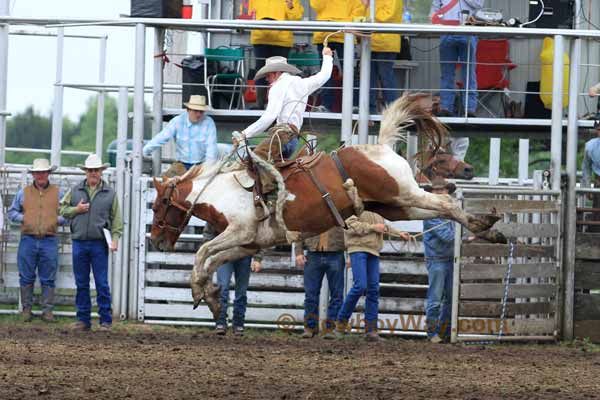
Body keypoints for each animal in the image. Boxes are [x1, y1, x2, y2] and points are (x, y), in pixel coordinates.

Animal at [151, 93, 506, 318]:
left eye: (158, 206)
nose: (156, 241)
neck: (220, 189)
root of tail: (380, 147)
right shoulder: (248, 243)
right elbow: (212, 260)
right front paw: (209, 296)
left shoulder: (239, 232)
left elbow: (202, 253)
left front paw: (200, 290)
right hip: (396, 205)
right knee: (443, 207)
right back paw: (488, 229)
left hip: (405, 195)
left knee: (444, 200)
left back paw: (485, 226)